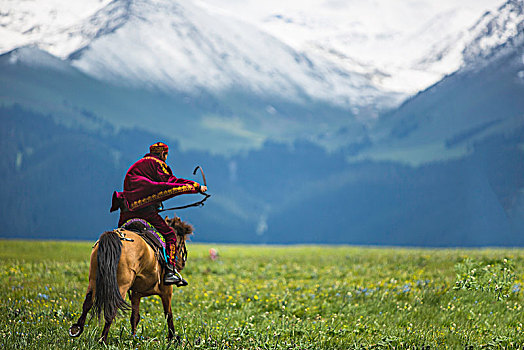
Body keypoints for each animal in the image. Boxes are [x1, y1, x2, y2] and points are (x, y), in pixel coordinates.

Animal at [68, 215, 192, 344]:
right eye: (182, 241)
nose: (182, 263)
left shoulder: (136, 293)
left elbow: (135, 317)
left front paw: (133, 338)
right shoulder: (167, 290)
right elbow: (169, 315)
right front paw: (173, 338)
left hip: (93, 280)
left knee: (88, 303)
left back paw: (77, 329)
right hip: (121, 286)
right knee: (111, 310)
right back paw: (103, 340)